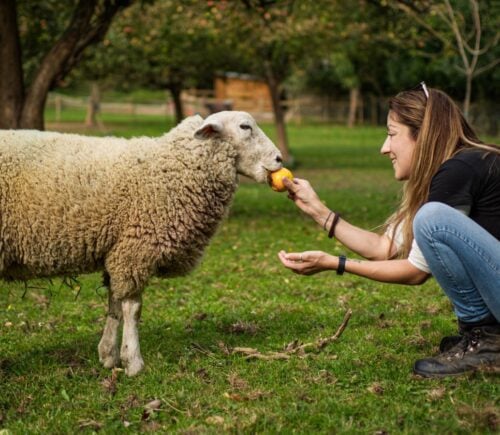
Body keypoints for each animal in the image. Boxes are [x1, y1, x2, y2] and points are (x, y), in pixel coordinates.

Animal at [0, 111, 282, 374]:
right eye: (245, 127)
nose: (279, 159)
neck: (170, 168)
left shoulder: (118, 250)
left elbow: (114, 305)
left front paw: (108, 355)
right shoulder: (135, 250)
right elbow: (132, 308)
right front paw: (133, 362)